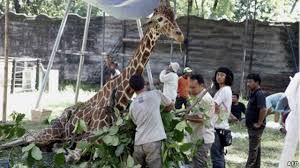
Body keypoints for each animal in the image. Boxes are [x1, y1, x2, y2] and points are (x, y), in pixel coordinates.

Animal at [0, 0, 184, 161]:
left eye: (174, 16)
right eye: (160, 19)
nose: (180, 35)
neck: (119, 99)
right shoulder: (91, 135)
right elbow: (74, 156)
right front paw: (66, 152)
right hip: (51, 131)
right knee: (27, 137)